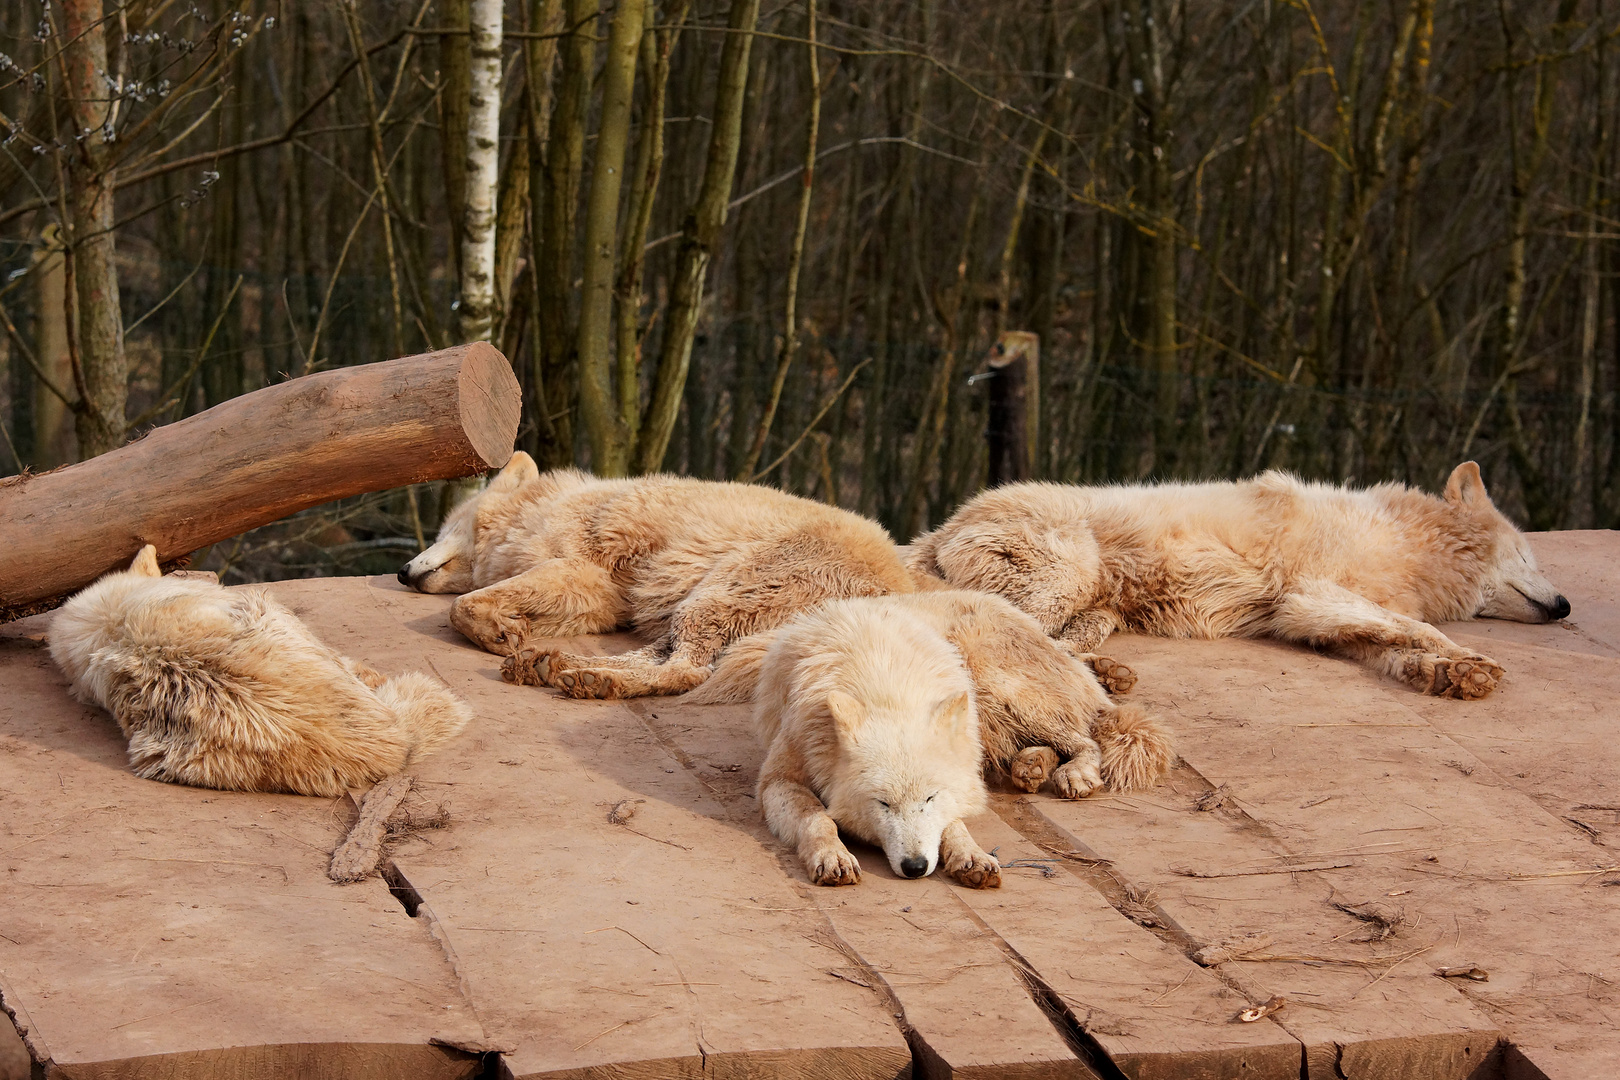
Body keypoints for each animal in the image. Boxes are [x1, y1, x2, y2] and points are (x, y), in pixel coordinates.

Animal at [396, 453, 920, 696]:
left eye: (441, 530)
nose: (401, 572)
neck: (540, 509)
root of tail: (896, 589)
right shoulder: (597, 596)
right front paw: (510, 631)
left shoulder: (578, 568)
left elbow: (460, 606)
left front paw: (495, 632)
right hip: (694, 610)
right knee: (663, 660)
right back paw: (555, 666)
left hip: (716, 595)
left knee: (686, 672)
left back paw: (589, 681)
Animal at [686, 592, 1179, 887]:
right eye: (883, 804)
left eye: (928, 798)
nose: (915, 867)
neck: (882, 682)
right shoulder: (778, 780)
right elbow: (817, 817)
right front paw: (833, 857)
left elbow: (955, 820)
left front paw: (970, 854)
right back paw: (1032, 766)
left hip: (990, 678)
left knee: (1086, 737)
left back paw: (1073, 772)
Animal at [907, 459, 1561, 696]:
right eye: (1529, 557)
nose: (1566, 606)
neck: (1410, 546)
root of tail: (943, 526)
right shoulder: (1312, 593)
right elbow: (1419, 628)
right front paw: (1469, 658)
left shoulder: (1314, 618)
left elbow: (1396, 645)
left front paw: (1448, 674)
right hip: (1067, 578)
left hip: (1097, 611)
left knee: (1057, 647)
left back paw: (1107, 673)